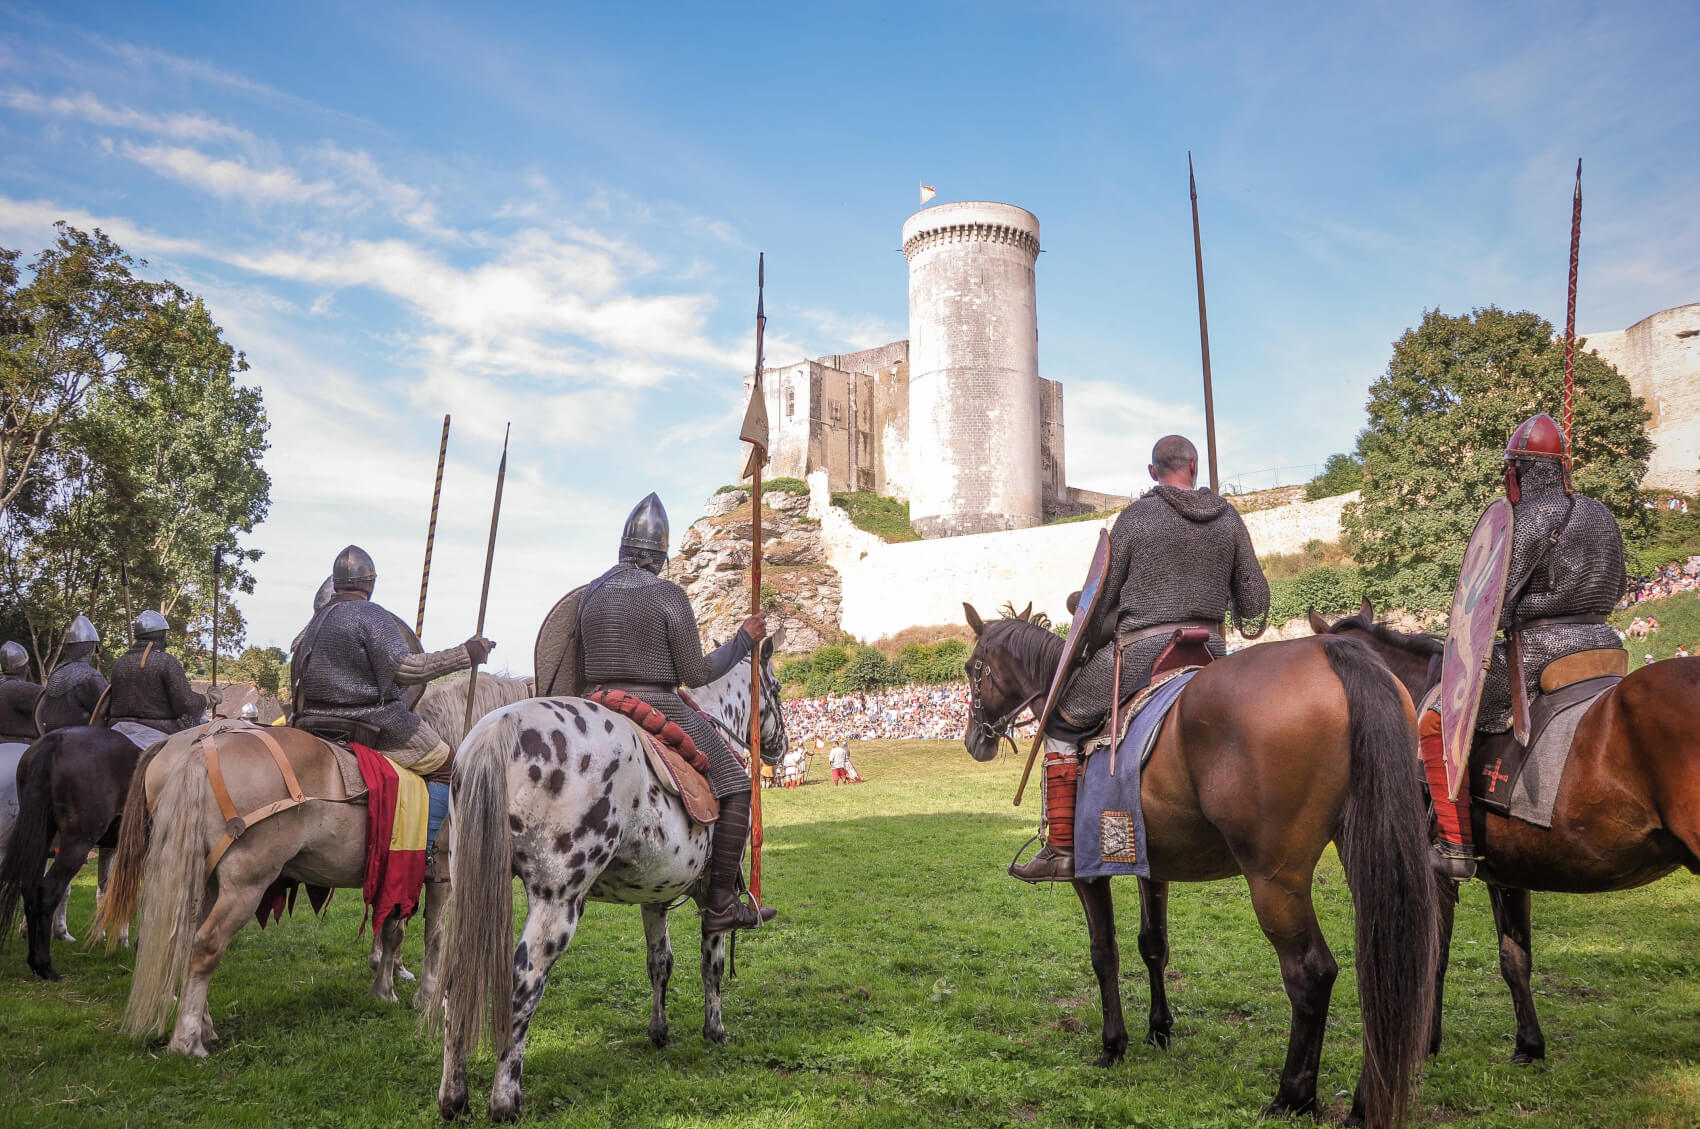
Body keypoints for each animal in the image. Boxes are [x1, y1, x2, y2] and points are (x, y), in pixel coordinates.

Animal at [94, 669, 530, 1047]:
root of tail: (200, 751)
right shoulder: (441, 875)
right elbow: (434, 936)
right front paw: (428, 997)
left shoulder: (399, 872)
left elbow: (393, 931)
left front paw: (384, 991)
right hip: (245, 883)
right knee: (205, 945)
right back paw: (187, 1040)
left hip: (203, 876)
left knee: (184, 939)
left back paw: (203, 1026)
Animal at [435, 635, 785, 1122]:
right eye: (778, 688)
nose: (781, 747)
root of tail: (500, 727)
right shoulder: (706, 897)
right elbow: (711, 965)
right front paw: (715, 1030)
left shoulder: (655, 896)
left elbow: (660, 963)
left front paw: (659, 1031)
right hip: (557, 900)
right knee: (522, 985)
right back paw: (506, 1101)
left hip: (469, 886)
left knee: (455, 980)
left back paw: (453, 1097)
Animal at [972, 608, 1434, 1129]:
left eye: (973, 669)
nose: (975, 740)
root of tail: (1332, 654)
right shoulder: (1152, 866)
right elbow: (1153, 945)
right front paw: (1159, 1030)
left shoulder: (1089, 871)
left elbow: (1104, 953)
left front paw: (1113, 1045)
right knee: (1382, 967)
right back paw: (1364, 1105)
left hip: (1275, 878)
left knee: (1311, 973)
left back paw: (1292, 1097)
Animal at [1312, 605, 1700, 1060]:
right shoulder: (1508, 873)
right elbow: (1514, 958)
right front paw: (1529, 1044)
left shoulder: (1437, 872)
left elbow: (1436, 955)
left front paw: (1427, 1042)